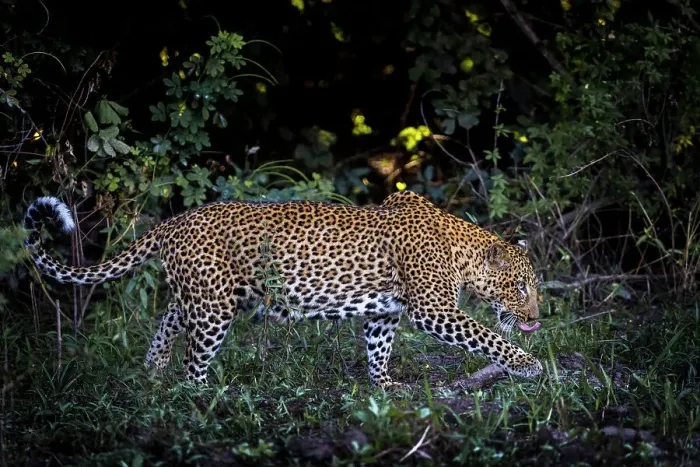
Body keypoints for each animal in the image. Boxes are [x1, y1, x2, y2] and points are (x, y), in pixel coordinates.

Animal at [23, 190, 543, 388]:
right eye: (520, 289)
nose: (538, 319)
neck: (462, 250)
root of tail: (174, 222)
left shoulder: (385, 312)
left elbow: (378, 350)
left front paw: (385, 387)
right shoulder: (433, 309)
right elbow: (486, 336)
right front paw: (528, 364)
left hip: (199, 294)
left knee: (168, 323)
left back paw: (152, 375)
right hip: (214, 308)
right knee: (194, 363)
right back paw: (204, 399)